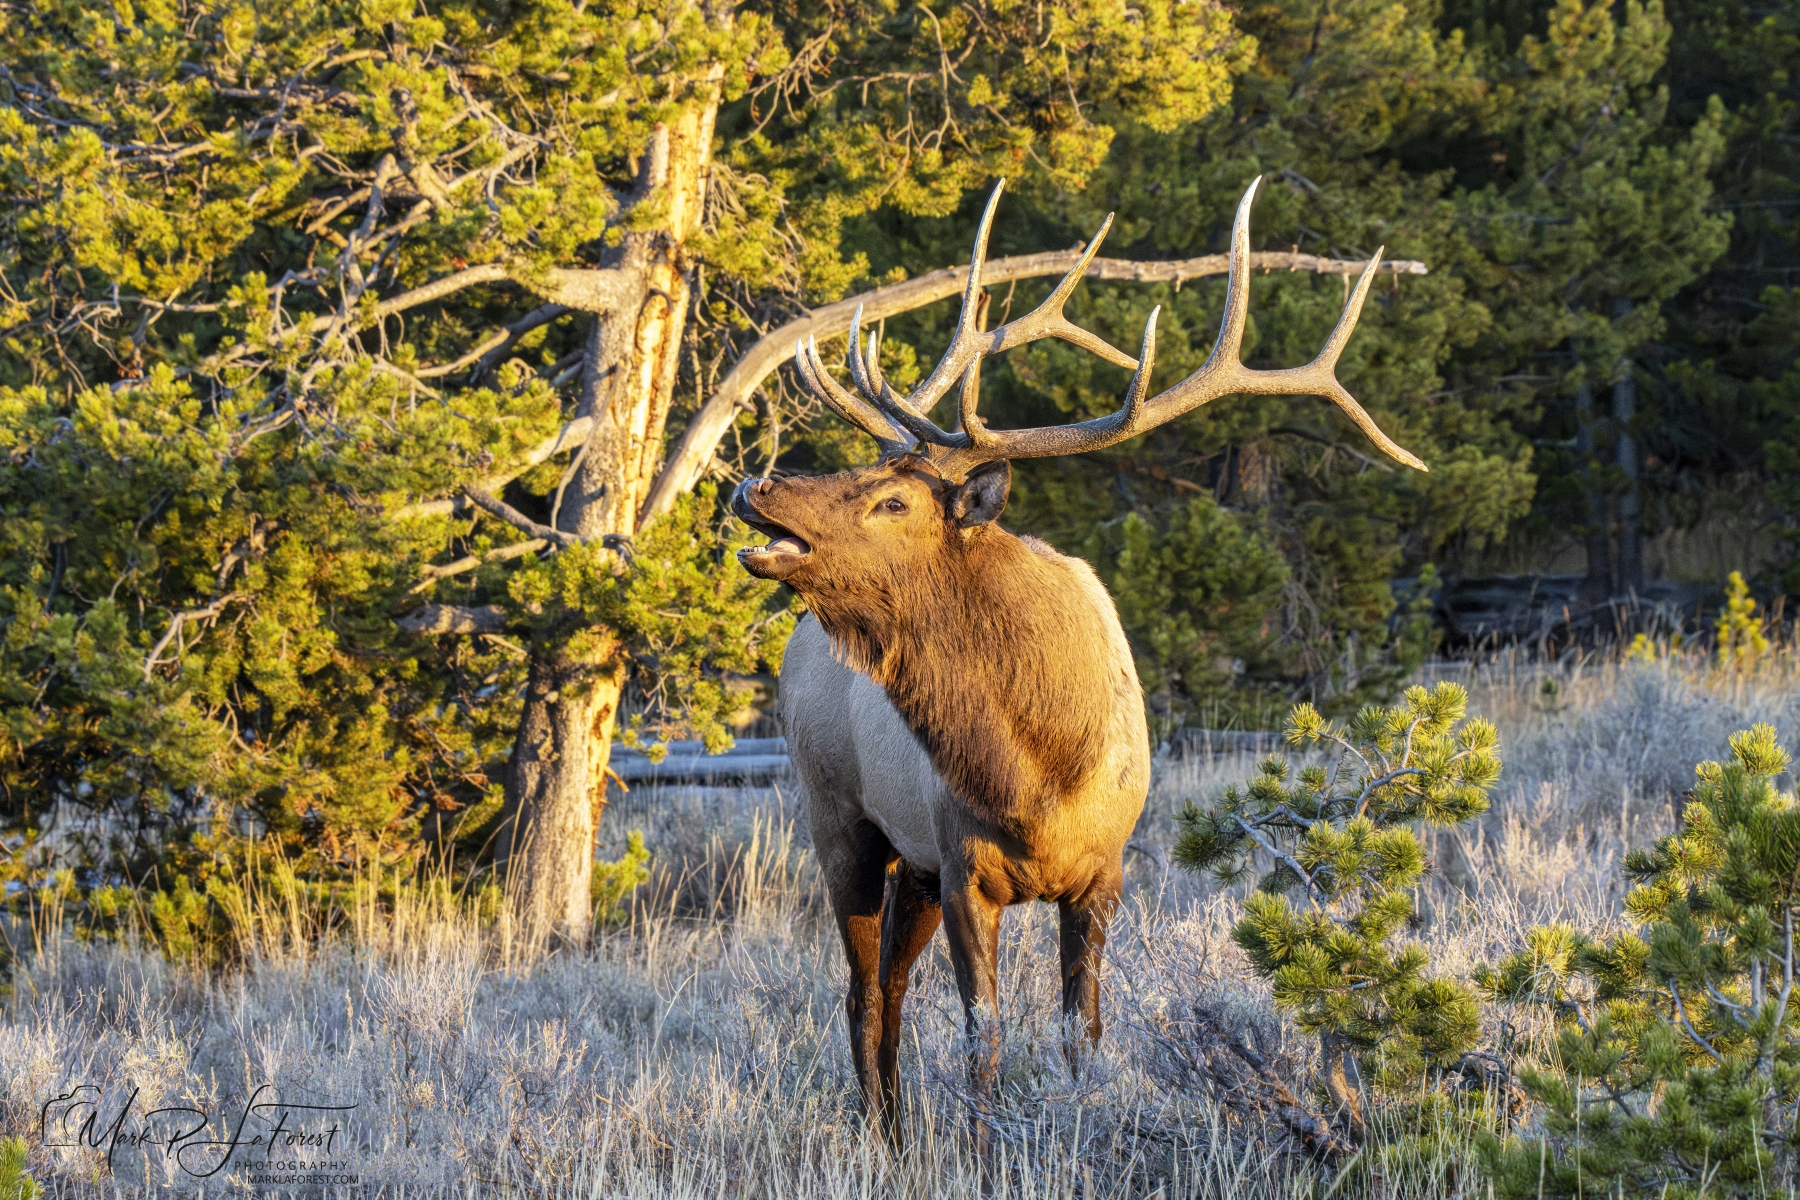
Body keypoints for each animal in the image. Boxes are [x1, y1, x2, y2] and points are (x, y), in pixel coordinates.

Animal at [730, 177, 1425, 1143]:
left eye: (894, 498)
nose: (755, 484)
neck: (1036, 773)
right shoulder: (965, 869)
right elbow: (984, 1040)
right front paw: (983, 1150)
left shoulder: (1101, 872)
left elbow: (1079, 1034)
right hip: (838, 817)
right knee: (862, 993)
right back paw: (882, 1138)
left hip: (906, 862)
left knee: (888, 992)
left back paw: (898, 1135)